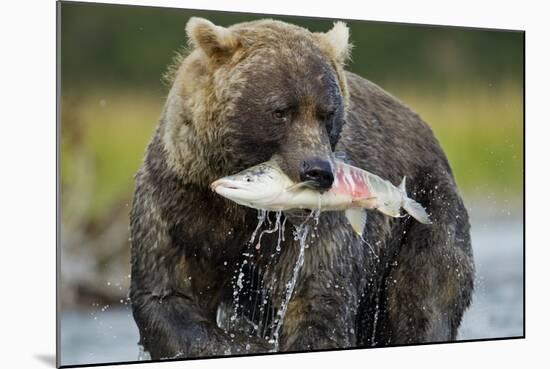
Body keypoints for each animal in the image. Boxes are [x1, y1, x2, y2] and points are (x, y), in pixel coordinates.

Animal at [129, 17, 474, 360]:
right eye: (281, 110)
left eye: (328, 113)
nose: (318, 171)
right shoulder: (179, 202)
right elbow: (169, 296)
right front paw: (246, 342)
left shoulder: (315, 229)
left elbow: (316, 299)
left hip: (426, 210)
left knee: (424, 295)